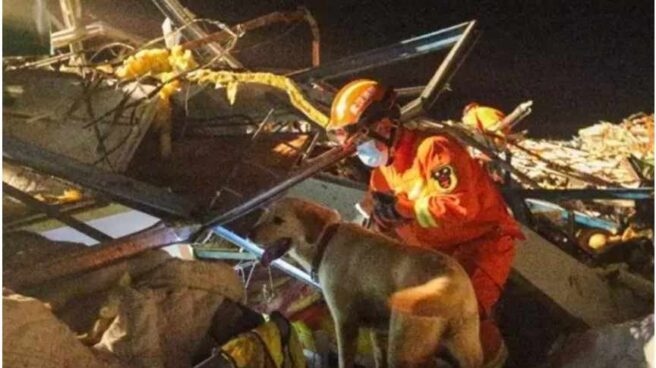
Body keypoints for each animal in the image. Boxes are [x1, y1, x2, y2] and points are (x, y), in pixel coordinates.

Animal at [249, 198, 484, 368]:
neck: (326, 242)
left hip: (403, 349)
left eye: (278, 220)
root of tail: (450, 280)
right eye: (264, 215)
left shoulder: (345, 322)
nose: (248, 234)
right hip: (465, 348)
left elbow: (344, 361)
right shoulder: (377, 332)